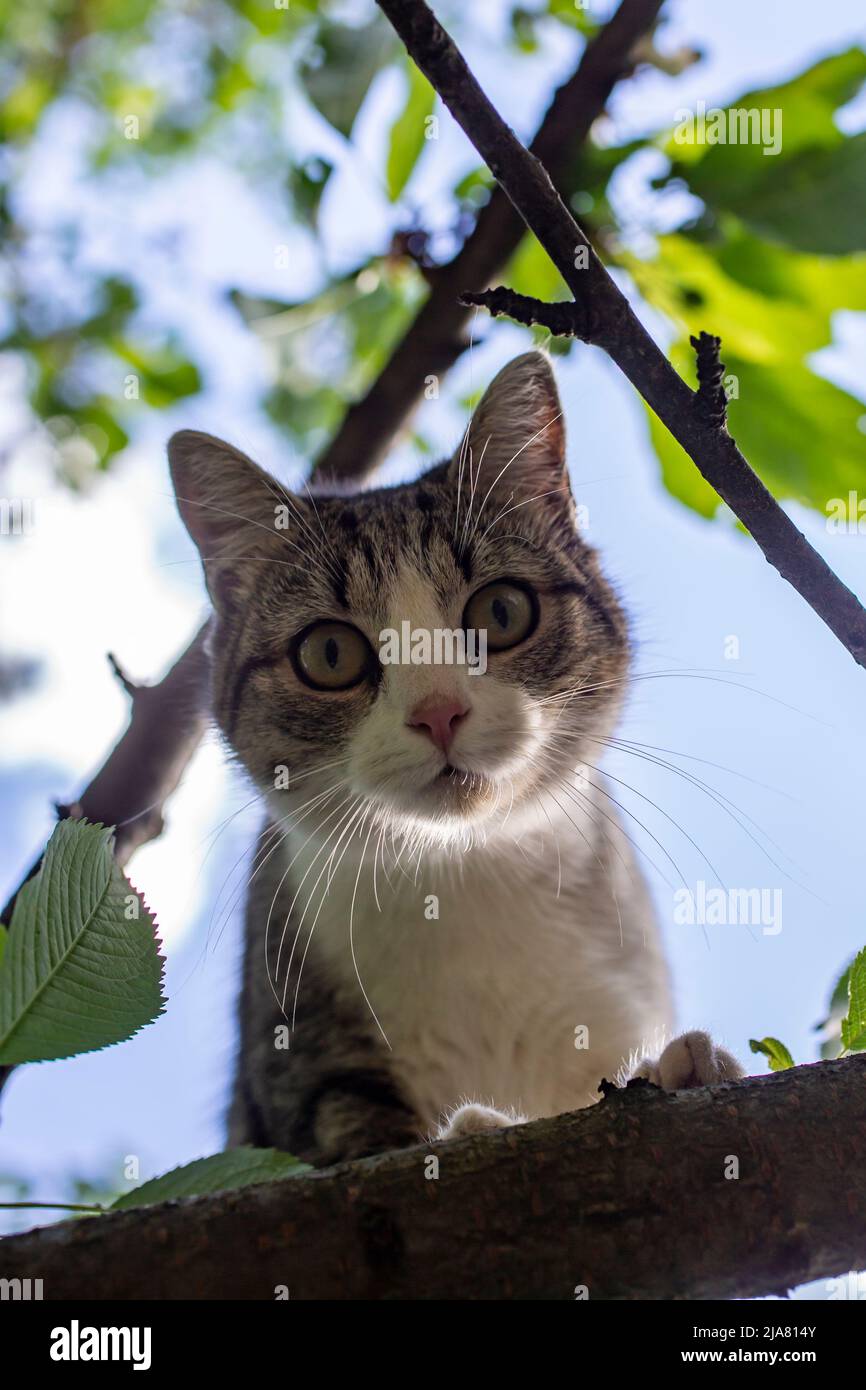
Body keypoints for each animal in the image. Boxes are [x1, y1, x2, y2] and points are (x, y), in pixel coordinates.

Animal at [170, 347, 745, 1162]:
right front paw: (474, 1124)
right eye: (329, 653)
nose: (438, 711)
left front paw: (683, 1069)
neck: (468, 869)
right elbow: (350, 1139)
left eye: (501, 611)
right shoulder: (301, 1070)